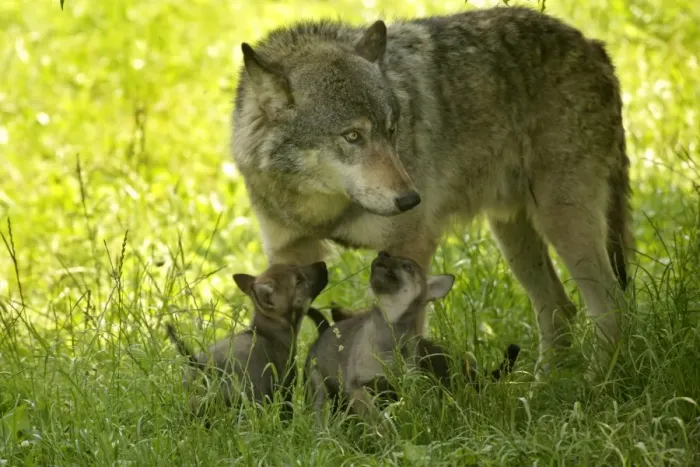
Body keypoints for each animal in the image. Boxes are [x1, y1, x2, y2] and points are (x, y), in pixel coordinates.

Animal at [231, 5, 634, 375]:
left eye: (392, 130)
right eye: (353, 136)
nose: (411, 200)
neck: (322, 207)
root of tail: (593, 45)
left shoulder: (411, 246)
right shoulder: (289, 254)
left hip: (561, 220)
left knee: (610, 302)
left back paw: (596, 383)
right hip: (512, 233)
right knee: (559, 307)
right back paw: (541, 389)